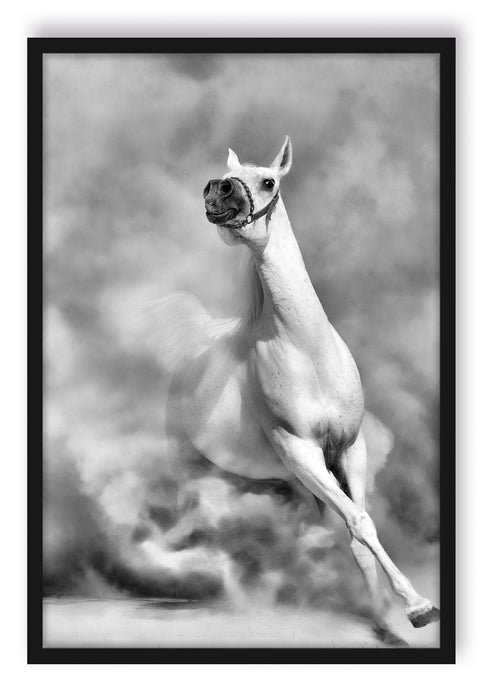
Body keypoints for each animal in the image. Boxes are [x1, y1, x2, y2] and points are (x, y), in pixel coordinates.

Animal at [164, 136, 440, 645]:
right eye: (224, 178)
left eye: (269, 181)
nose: (216, 192)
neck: (307, 350)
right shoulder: (301, 452)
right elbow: (360, 522)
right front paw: (417, 607)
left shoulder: (348, 449)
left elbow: (358, 528)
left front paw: (385, 620)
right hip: (191, 465)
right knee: (188, 517)